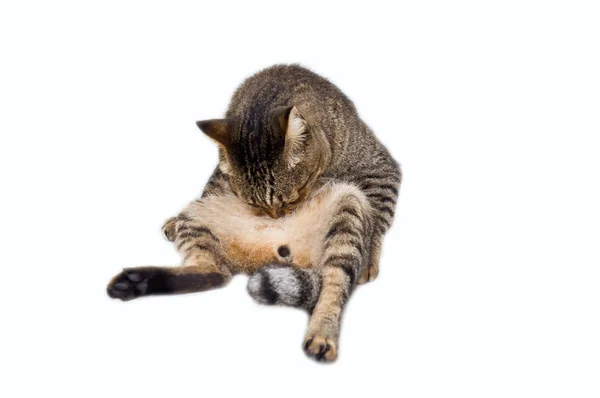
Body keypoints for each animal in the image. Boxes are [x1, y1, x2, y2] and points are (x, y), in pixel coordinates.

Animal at [107, 63, 400, 362]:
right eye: (254, 205)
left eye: (295, 196)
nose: (277, 219)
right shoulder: (221, 173)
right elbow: (212, 185)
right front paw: (173, 221)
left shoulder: (381, 169)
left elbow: (378, 215)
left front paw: (370, 258)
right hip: (197, 218)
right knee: (215, 272)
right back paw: (135, 282)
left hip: (348, 211)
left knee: (335, 281)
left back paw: (321, 335)